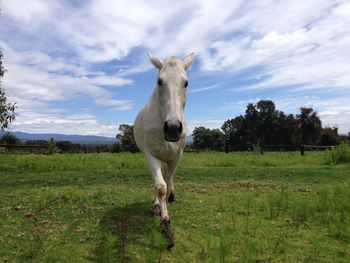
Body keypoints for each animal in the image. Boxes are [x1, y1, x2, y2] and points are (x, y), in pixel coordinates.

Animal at [134, 52, 194, 248]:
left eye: (186, 82)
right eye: (159, 81)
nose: (173, 128)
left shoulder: (176, 157)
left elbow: (167, 184)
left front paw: (167, 212)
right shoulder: (151, 155)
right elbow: (160, 187)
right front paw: (165, 222)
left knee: (168, 177)